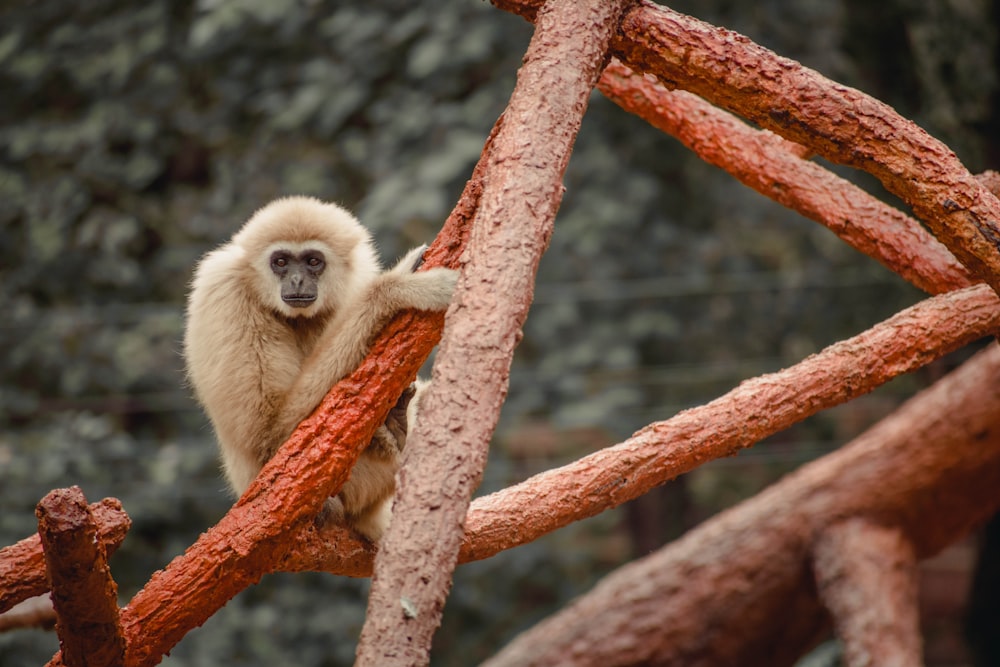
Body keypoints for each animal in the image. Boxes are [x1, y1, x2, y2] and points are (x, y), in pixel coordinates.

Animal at [184, 197, 458, 544]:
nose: (297, 280)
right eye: (281, 262)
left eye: (313, 261)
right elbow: (267, 432)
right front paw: (395, 287)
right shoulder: (223, 291)